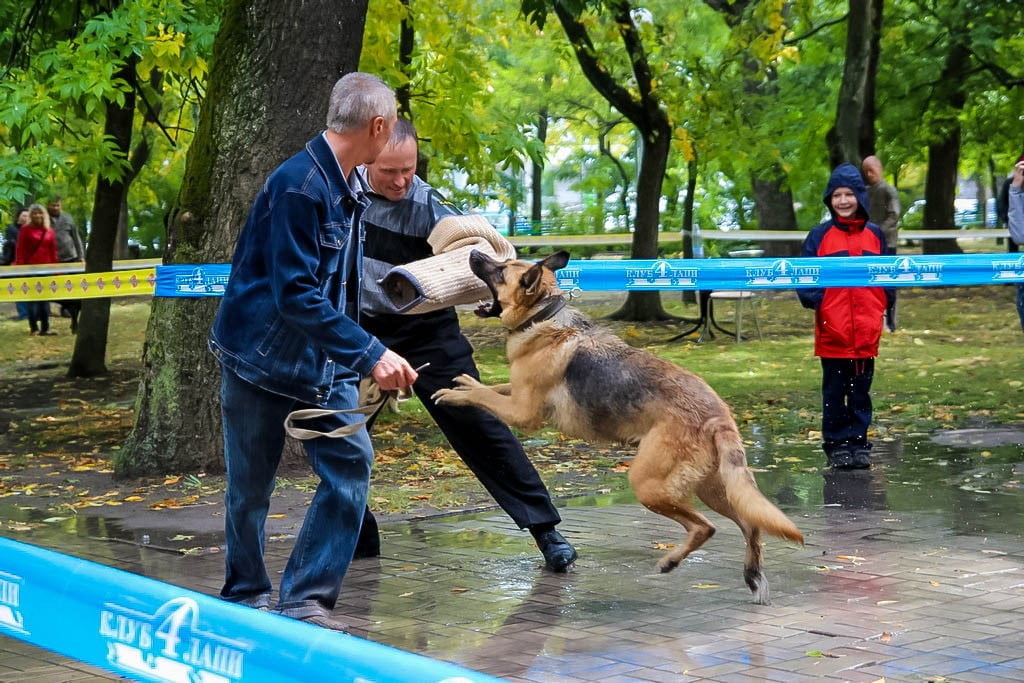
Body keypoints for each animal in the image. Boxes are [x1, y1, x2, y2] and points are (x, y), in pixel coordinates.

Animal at [432, 249, 798, 602]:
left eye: (501, 270)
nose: (474, 254)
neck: (543, 314)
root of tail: (718, 416)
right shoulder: (517, 394)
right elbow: (494, 388)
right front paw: (465, 383)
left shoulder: (523, 412)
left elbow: (485, 397)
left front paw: (456, 394)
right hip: (713, 488)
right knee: (751, 525)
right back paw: (752, 576)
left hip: (649, 484)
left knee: (705, 527)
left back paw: (672, 561)